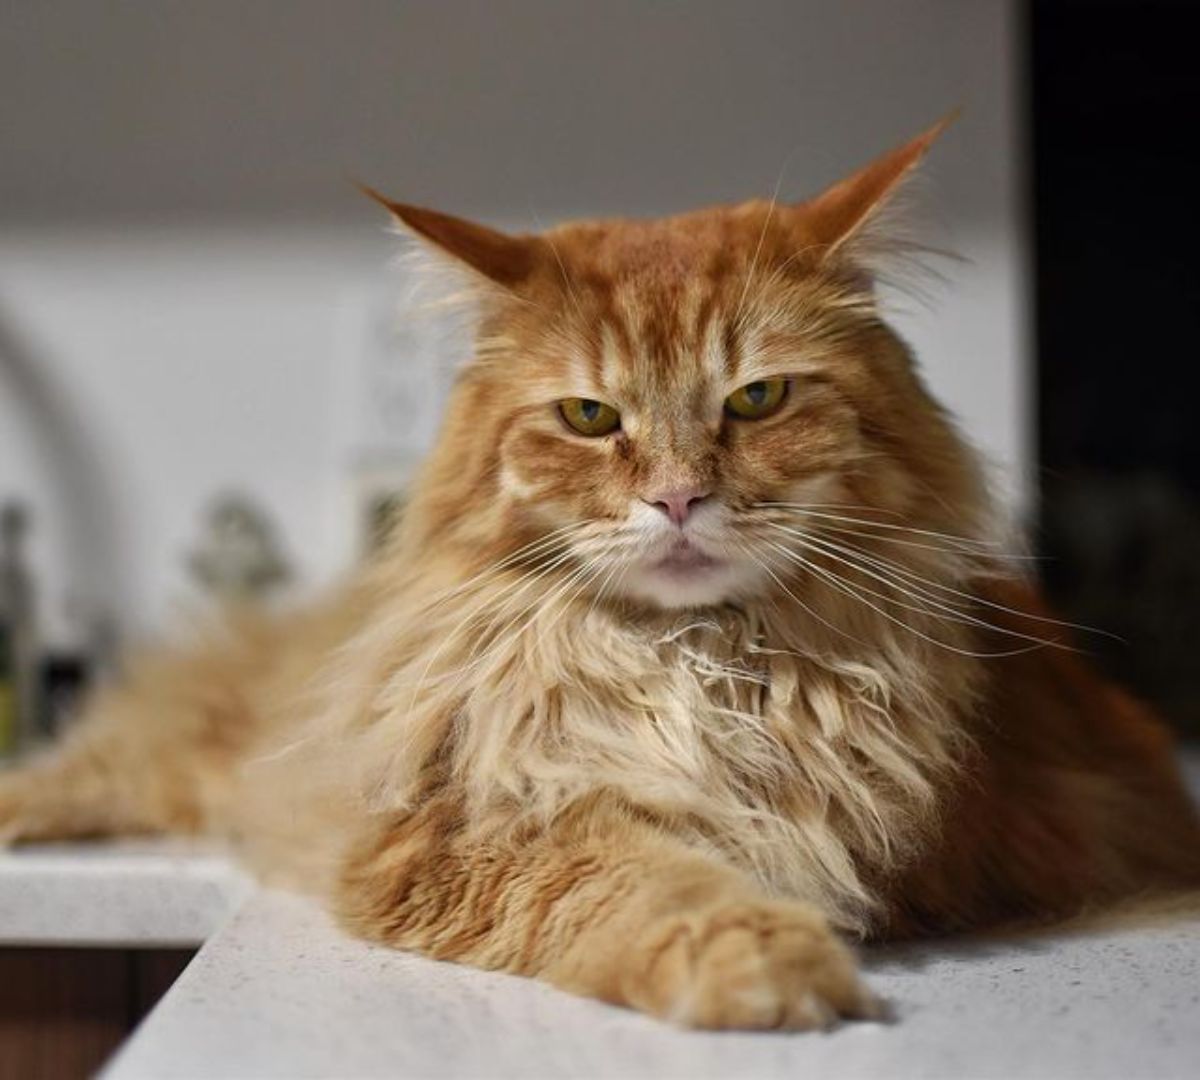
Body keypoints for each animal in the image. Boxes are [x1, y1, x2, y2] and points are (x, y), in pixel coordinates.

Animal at [2, 122, 1200, 1032]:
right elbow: (635, 874)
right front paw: (762, 964)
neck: (688, 658)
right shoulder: (456, 827)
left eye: (757, 399)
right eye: (588, 416)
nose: (676, 499)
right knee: (104, 760)